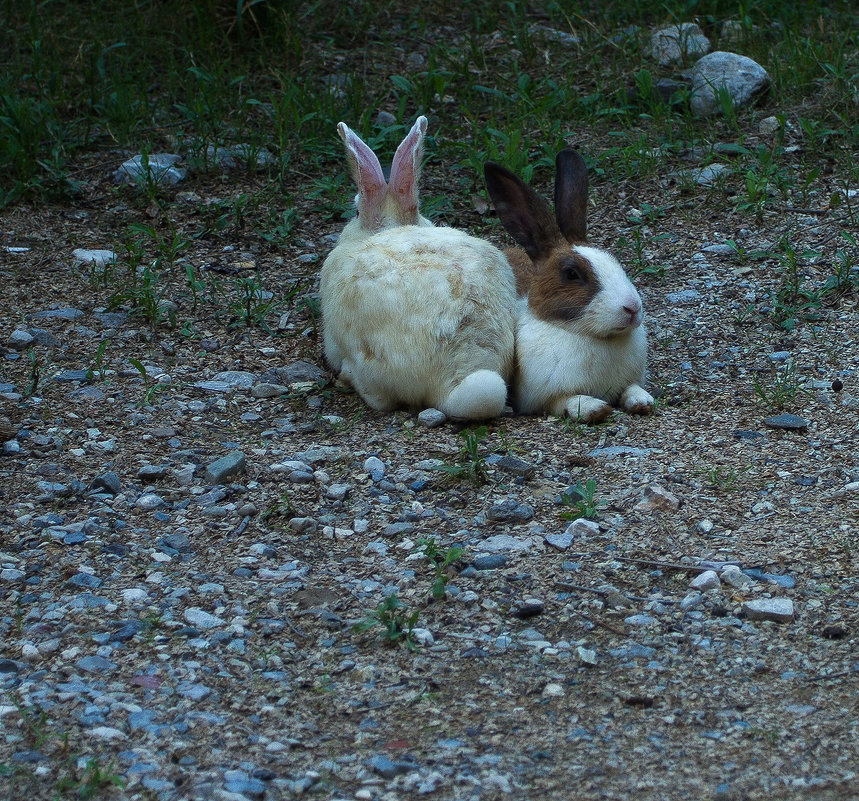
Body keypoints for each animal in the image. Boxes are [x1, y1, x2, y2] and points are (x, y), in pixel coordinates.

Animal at [484, 150, 652, 424]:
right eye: (572, 274)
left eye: (615, 260)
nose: (632, 308)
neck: (591, 336)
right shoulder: (542, 398)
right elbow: (567, 400)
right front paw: (595, 408)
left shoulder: (630, 379)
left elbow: (631, 387)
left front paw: (642, 401)